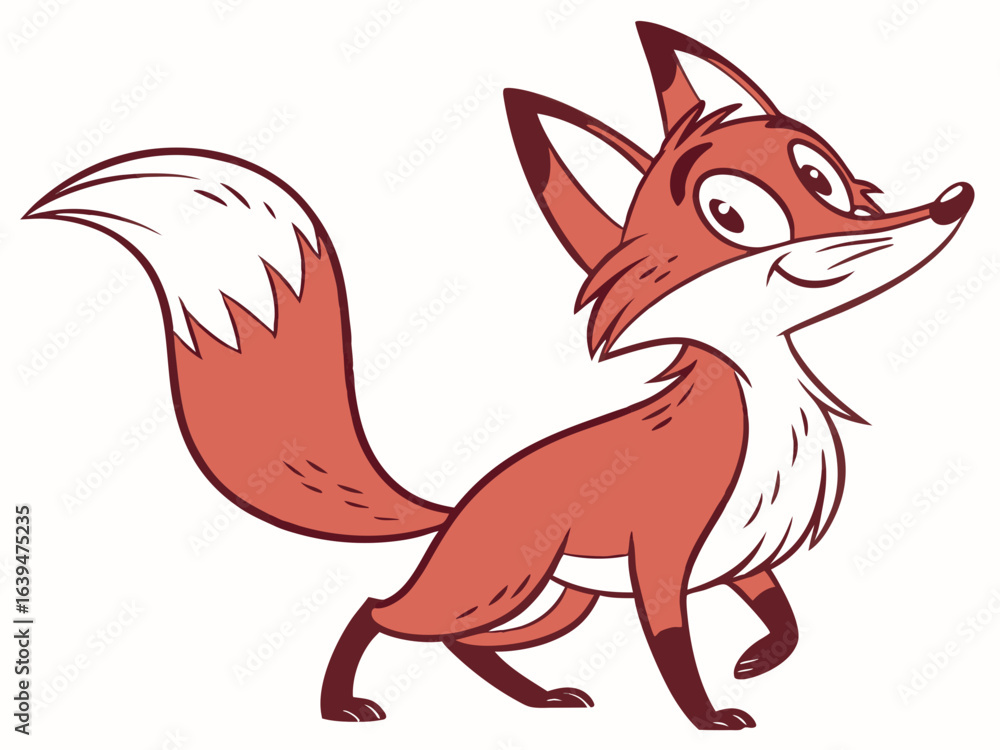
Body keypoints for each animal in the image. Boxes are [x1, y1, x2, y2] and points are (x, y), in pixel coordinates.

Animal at [23, 23, 972, 730]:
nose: (952, 204)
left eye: (822, 177)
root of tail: (462, 502)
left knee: (466, 646)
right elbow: (676, 652)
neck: (766, 402)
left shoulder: (734, 556)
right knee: (384, 611)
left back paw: (539, 700)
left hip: (558, 597)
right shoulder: (665, 560)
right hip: (496, 584)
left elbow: (785, 618)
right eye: (733, 216)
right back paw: (342, 706)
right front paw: (708, 716)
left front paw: (759, 659)